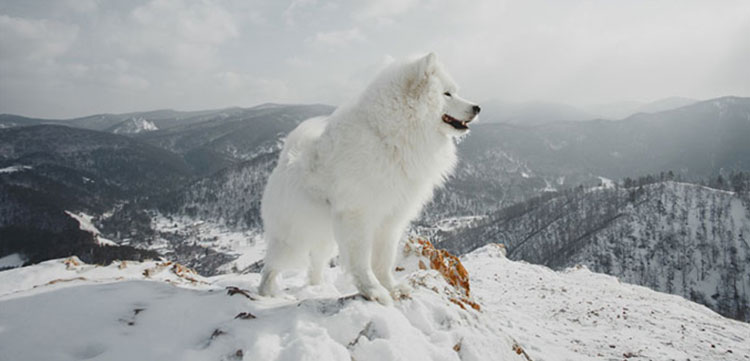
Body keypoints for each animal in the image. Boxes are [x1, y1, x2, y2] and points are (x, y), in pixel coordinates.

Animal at [258, 53, 482, 304]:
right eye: (447, 93)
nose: (477, 107)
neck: (390, 138)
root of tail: (286, 158)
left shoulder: (391, 219)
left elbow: (384, 260)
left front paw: (392, 288)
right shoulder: (358, 215)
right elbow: (361, 261)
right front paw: (373, 291)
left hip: (324, 237)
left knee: (315, 265)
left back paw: (318, 288)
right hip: (294, 237)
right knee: (271, 267)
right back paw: (266, 294)